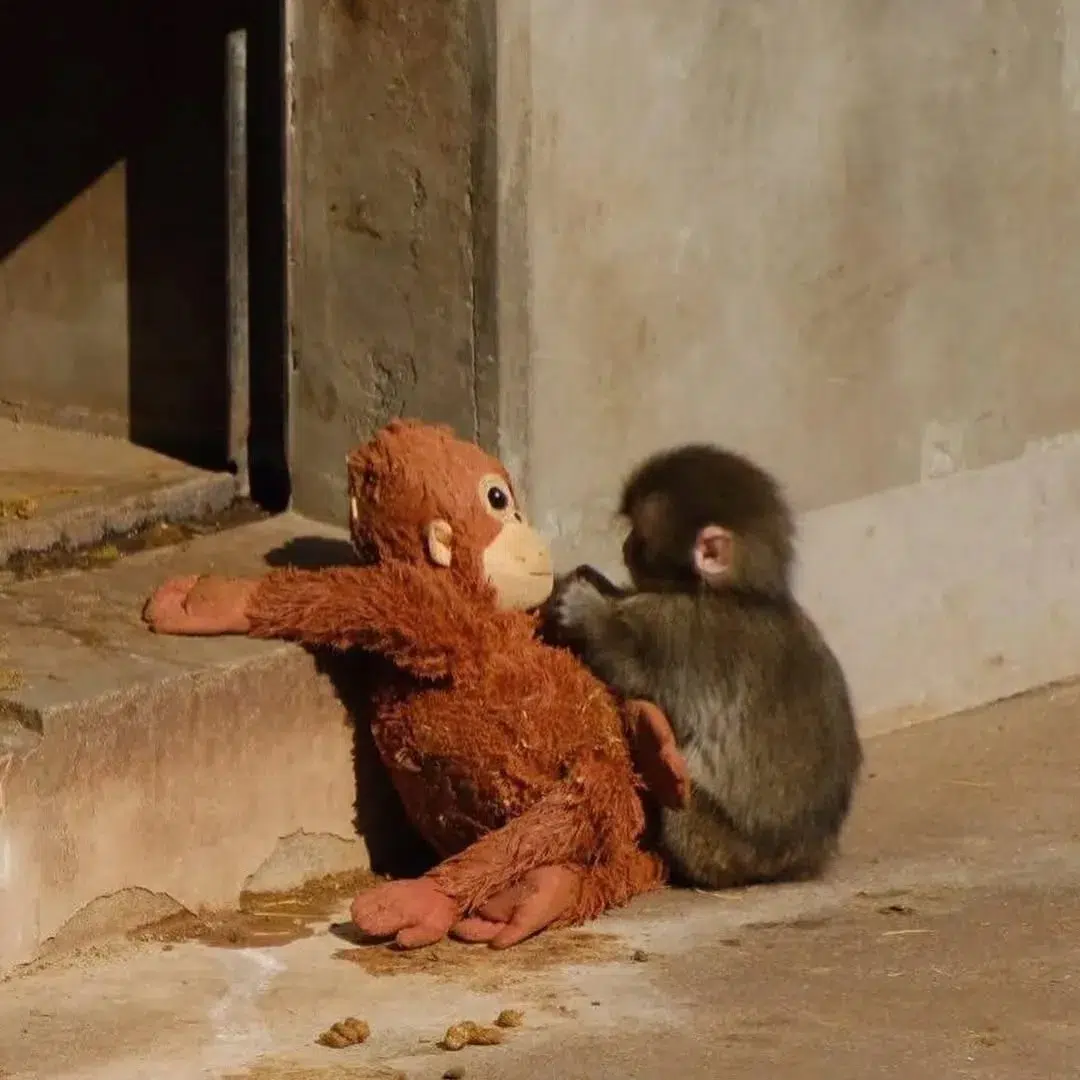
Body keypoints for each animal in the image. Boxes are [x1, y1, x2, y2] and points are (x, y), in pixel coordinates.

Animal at [542, 444, 863, 890]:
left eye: (640, 536)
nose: (625, 545)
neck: (736, 593)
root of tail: (800, 861)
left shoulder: (679, 631)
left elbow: (633, 669)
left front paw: (586, 610)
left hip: (720, 848)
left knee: (681, 810)